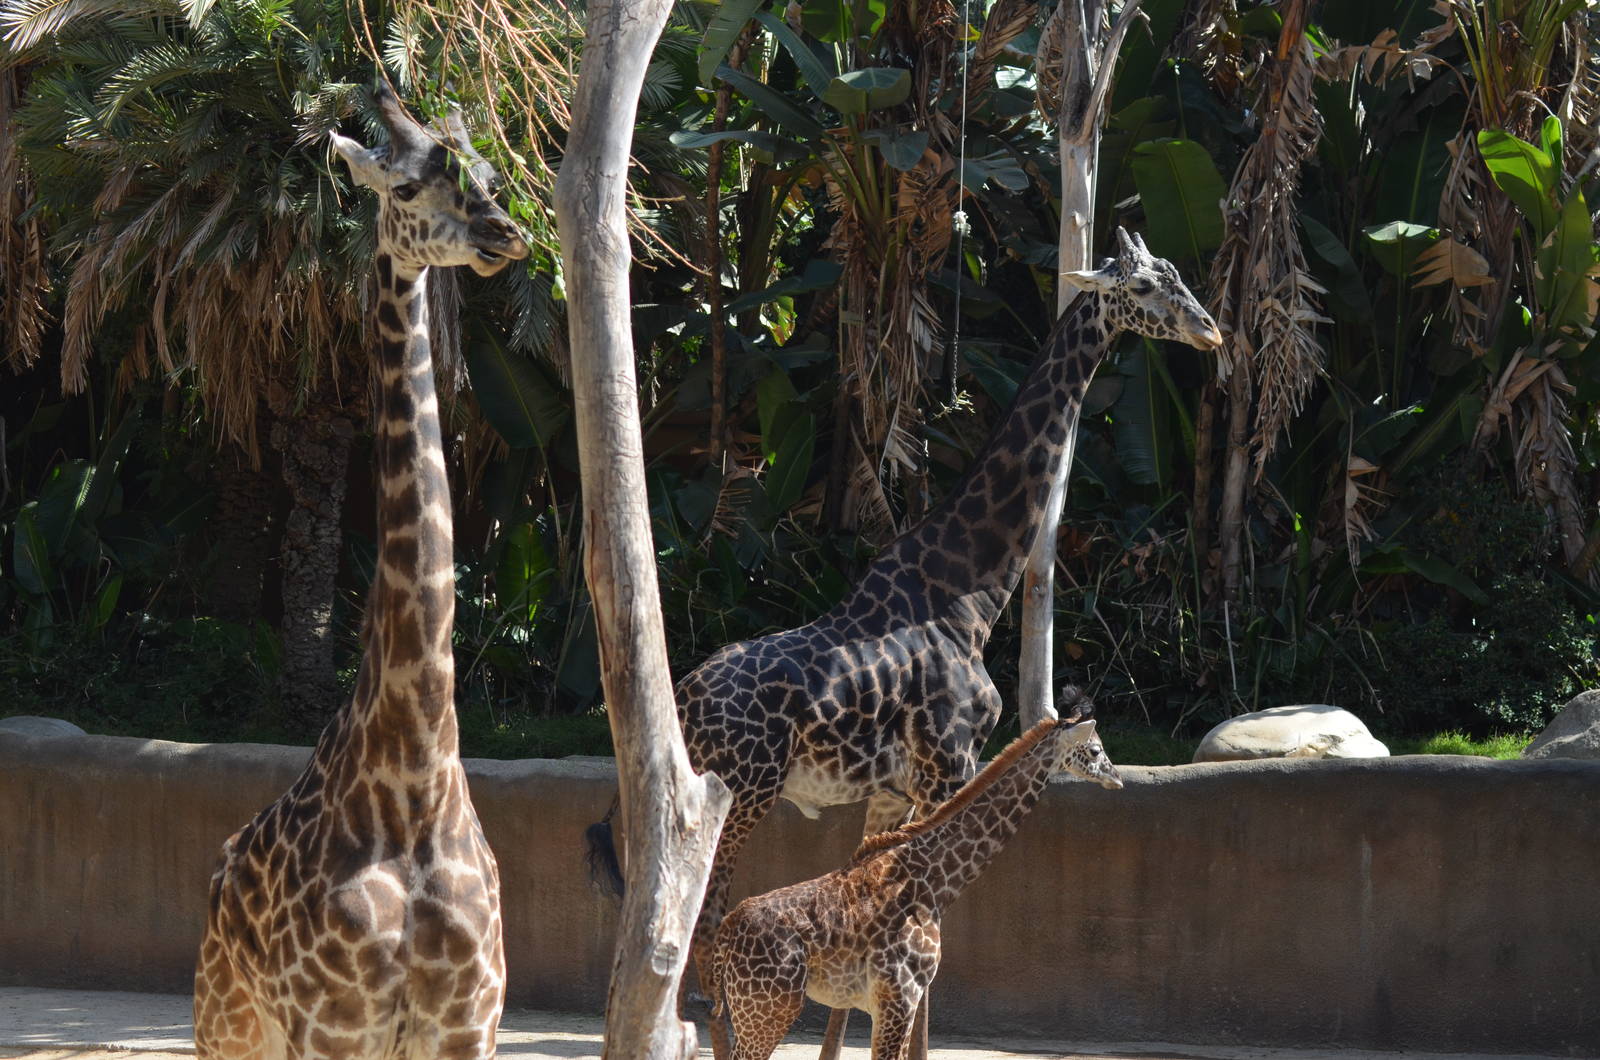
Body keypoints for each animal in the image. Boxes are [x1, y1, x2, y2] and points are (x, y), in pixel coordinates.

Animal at [192, 85, 528, 1060]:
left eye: (488, 177)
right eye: (409, 186)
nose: (504, 236)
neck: (414, 774)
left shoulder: (469, 1025)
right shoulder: (333, 1027)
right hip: (231, 1025)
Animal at [709, 701, 1124, 1060]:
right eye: (1095, 750)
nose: (1117, 779)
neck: (935, 881)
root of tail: (727, 932)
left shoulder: (891, 1001)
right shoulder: (900, 995)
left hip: (751, 1009)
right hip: (769, 1009)